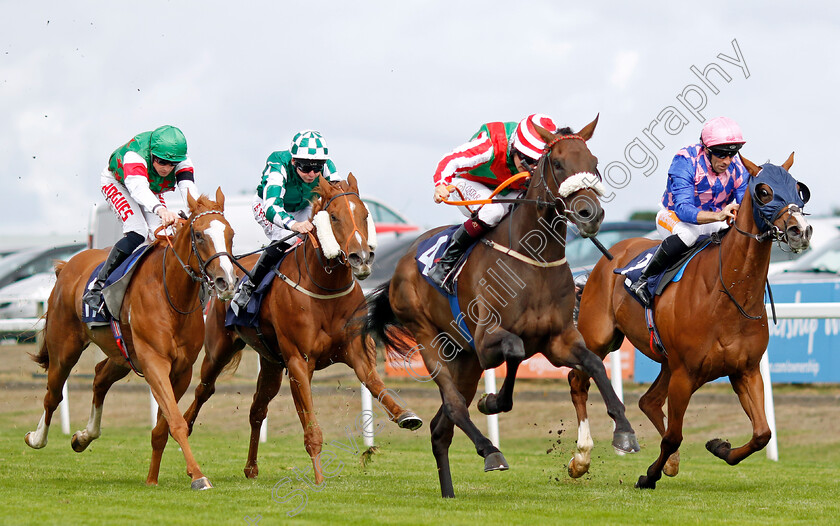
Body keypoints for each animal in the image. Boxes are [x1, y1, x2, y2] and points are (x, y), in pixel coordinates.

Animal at [26, 189, 236, 490]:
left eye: (230, 233)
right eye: (198, 235)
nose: (226, 282)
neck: (171, 296)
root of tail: (68, 266)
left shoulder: (181, 370)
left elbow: (163, 427)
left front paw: (152, 479)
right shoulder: (154, 362)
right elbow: (175, 421)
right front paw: (198, 476)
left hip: (122, 356)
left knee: (99, 378)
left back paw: (84, 436)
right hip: (64, 349)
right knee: (53, 395)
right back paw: (37, 438)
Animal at [184, 174, 420, 486]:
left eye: (365, 214)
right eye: (334, 217)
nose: (361, 257)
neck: (325, 289)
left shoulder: (355, 352)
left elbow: (375, 384)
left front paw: (405, 414)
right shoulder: (298, 361)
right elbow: (311, 426)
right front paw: (319, 478)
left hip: (271, 362)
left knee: (257, 409)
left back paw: (251, 467)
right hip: (218, 351)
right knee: (204, 390)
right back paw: (183, 430)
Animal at [364, 117, 640, 502]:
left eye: (594, 162)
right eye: (557, 164)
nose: (590, 214)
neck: (534, 261)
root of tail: (401, 262)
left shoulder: (558, 341)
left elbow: (594, 365)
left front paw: (624, 431)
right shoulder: (486, 340)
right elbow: (515, 350)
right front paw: (492, 403)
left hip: (464, 360)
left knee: (440, 428)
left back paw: (449, 492)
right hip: (430, 340)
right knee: (454, 405)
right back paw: (490, 451)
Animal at [576, 155, 812, 492]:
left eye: (799, 189)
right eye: (764, 191)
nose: (800, 230)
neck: (727, 293)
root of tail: (611, 255)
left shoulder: (745, 370)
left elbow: (762, 433)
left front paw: (720, 447)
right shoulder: (685, 374)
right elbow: (674, 436)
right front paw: (649, 475)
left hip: (667, 362)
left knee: (649, 401)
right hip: (599, 339)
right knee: (578, 383)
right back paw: (581, 458)